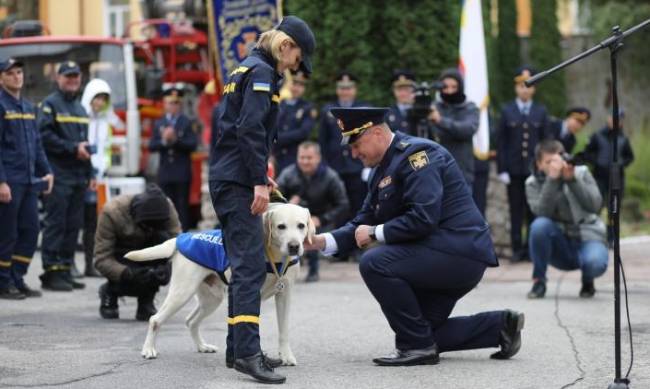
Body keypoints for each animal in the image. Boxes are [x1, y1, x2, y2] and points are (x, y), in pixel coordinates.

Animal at [123, 203, 314, 364]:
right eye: (281, 226)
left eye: (301, 226)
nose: (294, 246)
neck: (275, 257)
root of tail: (181, 238)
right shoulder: (250, 294)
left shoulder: (284, 295)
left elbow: (284, 330)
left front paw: (286, 356)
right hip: (182, 292)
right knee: (155, 319)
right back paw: (148, 349)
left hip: (211, 299)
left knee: (190, 321)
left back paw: (202, 346)